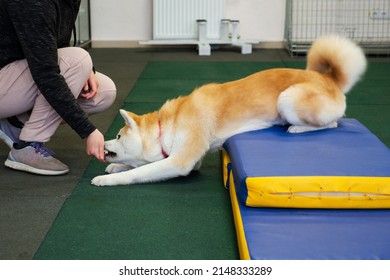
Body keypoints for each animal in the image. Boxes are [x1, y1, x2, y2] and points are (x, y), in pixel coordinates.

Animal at [91, 36, 366, 187]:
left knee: (332, 124)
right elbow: (138, 165)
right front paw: (116, 167)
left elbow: (139, 171)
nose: (104, 144)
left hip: (287, 99)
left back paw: (297, 128)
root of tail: (329, 79)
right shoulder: (189, 160)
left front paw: (109, 178)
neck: (168, 125)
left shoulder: (181, 161)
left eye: (118, 136)